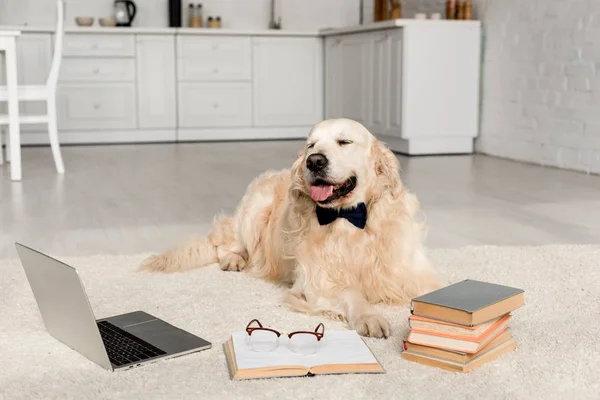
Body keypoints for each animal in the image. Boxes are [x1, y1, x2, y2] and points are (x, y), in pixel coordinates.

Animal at [139, 118, 440, 338]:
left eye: (344, 141)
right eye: (311, 145)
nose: (314, 160)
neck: (349, 218)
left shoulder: (411, 274)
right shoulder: (318, 281)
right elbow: (351, 293)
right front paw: (370, 316)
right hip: (254, 212)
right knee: (223, 243)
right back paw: (234, 259)